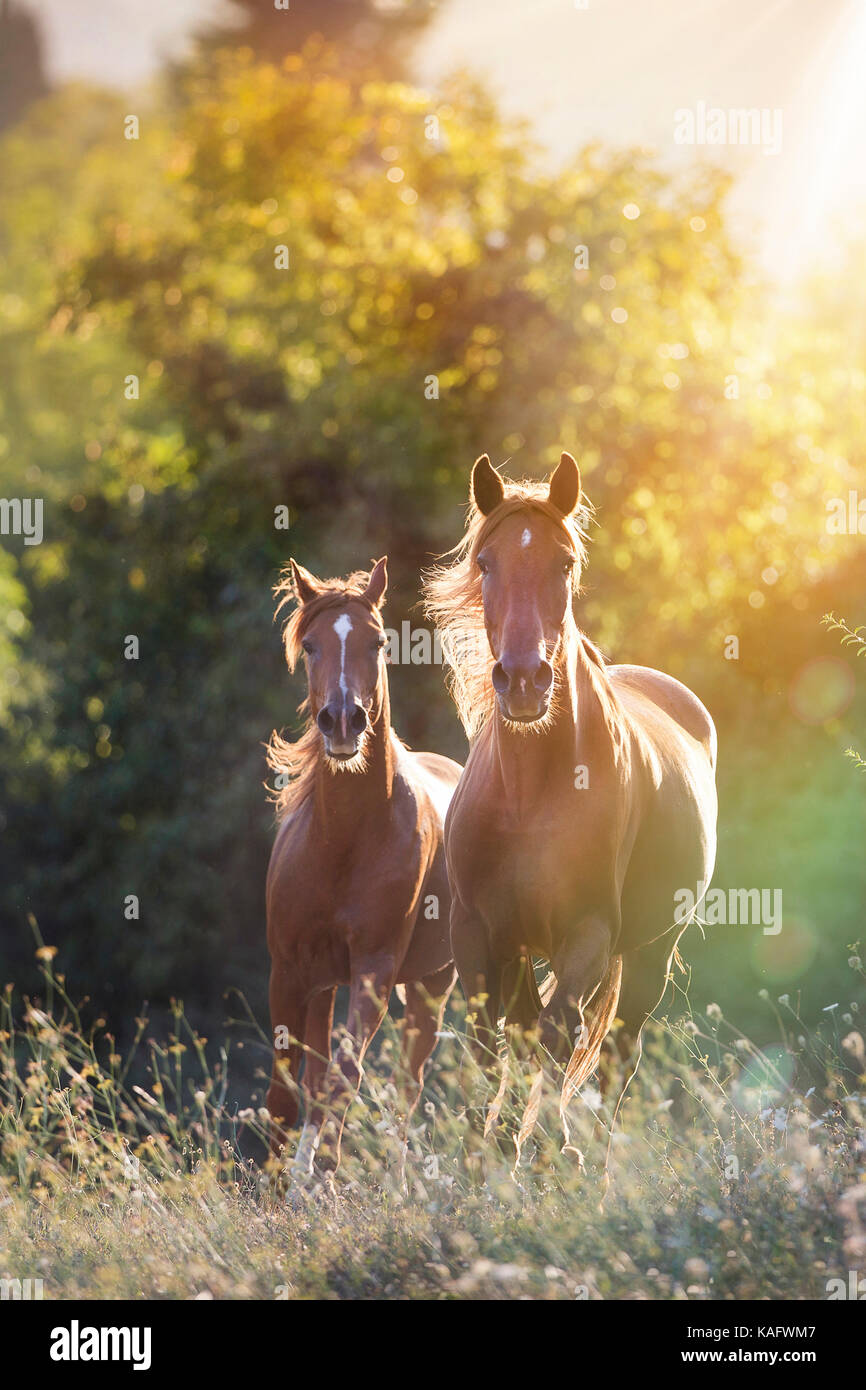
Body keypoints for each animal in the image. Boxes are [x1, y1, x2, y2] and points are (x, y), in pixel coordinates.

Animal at [268, 553, 464, 1173]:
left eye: (377, 642)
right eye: (310, 645)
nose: (342, 720)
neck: (343, 842)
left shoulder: (374, 971)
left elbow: (344, 1081)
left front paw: (316, 1181)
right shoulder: (290, 969)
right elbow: (287, 1095)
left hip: (431, 984)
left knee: (407, 1086)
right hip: (323, 983)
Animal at [428, 455, 717, 1150]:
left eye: (564, 563)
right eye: (486, 564)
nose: (523, 681)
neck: (530, 794)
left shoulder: (587, 931)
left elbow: (558, 1038)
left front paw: (546, 1155)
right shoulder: (478, 935)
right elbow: (498, 1046)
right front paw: (491, 1153)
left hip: (649, 952)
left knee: (615, 1054)